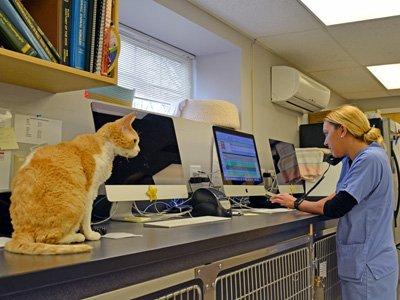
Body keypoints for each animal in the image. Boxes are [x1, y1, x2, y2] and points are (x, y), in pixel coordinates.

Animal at [5, 113, 141, 254]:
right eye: (135, 141)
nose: (139, 150)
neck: (104, 146)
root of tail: (20, 231)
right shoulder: (90, 192)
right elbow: (87, 218)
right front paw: (90, 234)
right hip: (76, 202)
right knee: (47, 238)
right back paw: (76, 236)